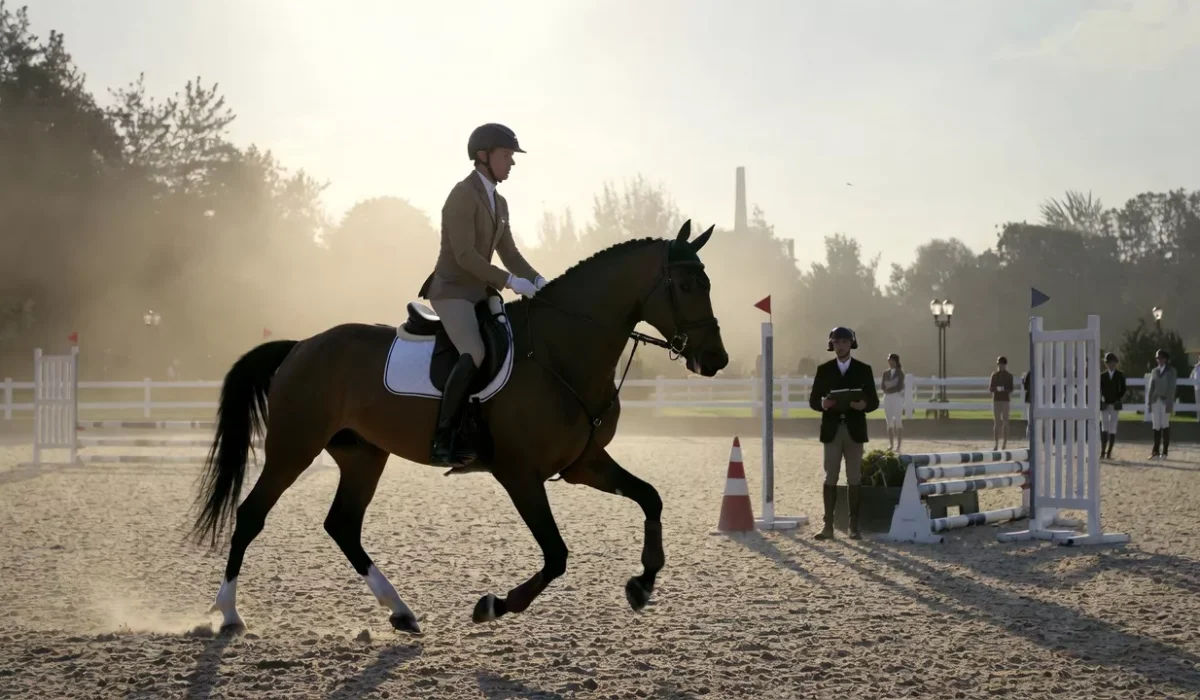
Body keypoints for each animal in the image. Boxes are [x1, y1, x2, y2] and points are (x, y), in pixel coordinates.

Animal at [189, 220, 729, 635]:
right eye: (685, 286)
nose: (715, 360)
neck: (561, 351)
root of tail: (302, 345)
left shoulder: (584, 464)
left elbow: (650, 498)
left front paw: (643, 583)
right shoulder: (520, 474)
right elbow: (556, 555)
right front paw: (494, 606)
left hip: (363, 454)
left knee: (342, 524)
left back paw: (401, 613)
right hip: (293, 448)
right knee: (251, 515)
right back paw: (229, 615)